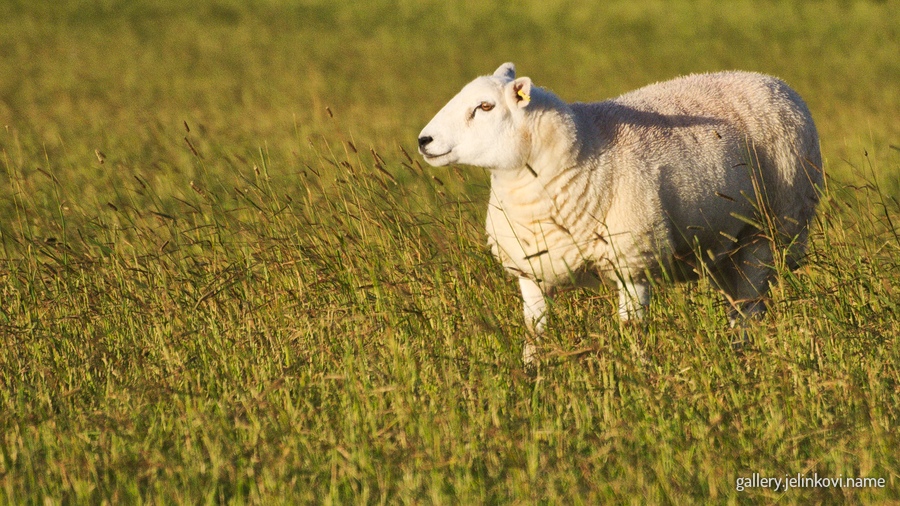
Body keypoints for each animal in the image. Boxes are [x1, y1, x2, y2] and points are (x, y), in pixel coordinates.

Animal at [417, 63, 822, 364]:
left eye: (485, 107)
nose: (424, 141)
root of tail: (774, 81)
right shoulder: (531, 273)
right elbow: (535, 335)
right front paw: (533, 379)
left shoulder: (632, 263)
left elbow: (634, 334)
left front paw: (638, 378)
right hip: (725, 247)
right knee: (739, 305)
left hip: (771, 227)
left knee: (751, 304)